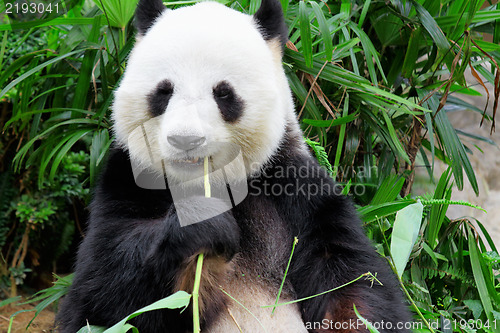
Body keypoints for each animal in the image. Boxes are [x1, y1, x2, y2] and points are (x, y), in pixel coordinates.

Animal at [56, 0, 412, 332]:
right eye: (163, 91)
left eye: (224, 94)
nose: (186, 139)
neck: (209, 182)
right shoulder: (127, 178)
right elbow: (102, 294)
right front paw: (203, 224)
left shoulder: (293, 185)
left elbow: (350, 278)